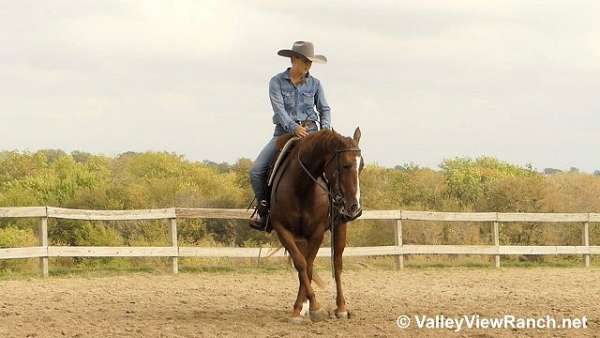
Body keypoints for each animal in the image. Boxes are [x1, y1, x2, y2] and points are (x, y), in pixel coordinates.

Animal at [270, 126, 364, 322]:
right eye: (345, 165)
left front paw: (312, 307)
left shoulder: (317, 233)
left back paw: (341, 307)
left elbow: (309, 266)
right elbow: (301, 264)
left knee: (337, 264)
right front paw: (303, 307)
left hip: (339, 227)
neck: (301, 187)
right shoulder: (282, 230)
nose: (355, 207)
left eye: (362, 166)